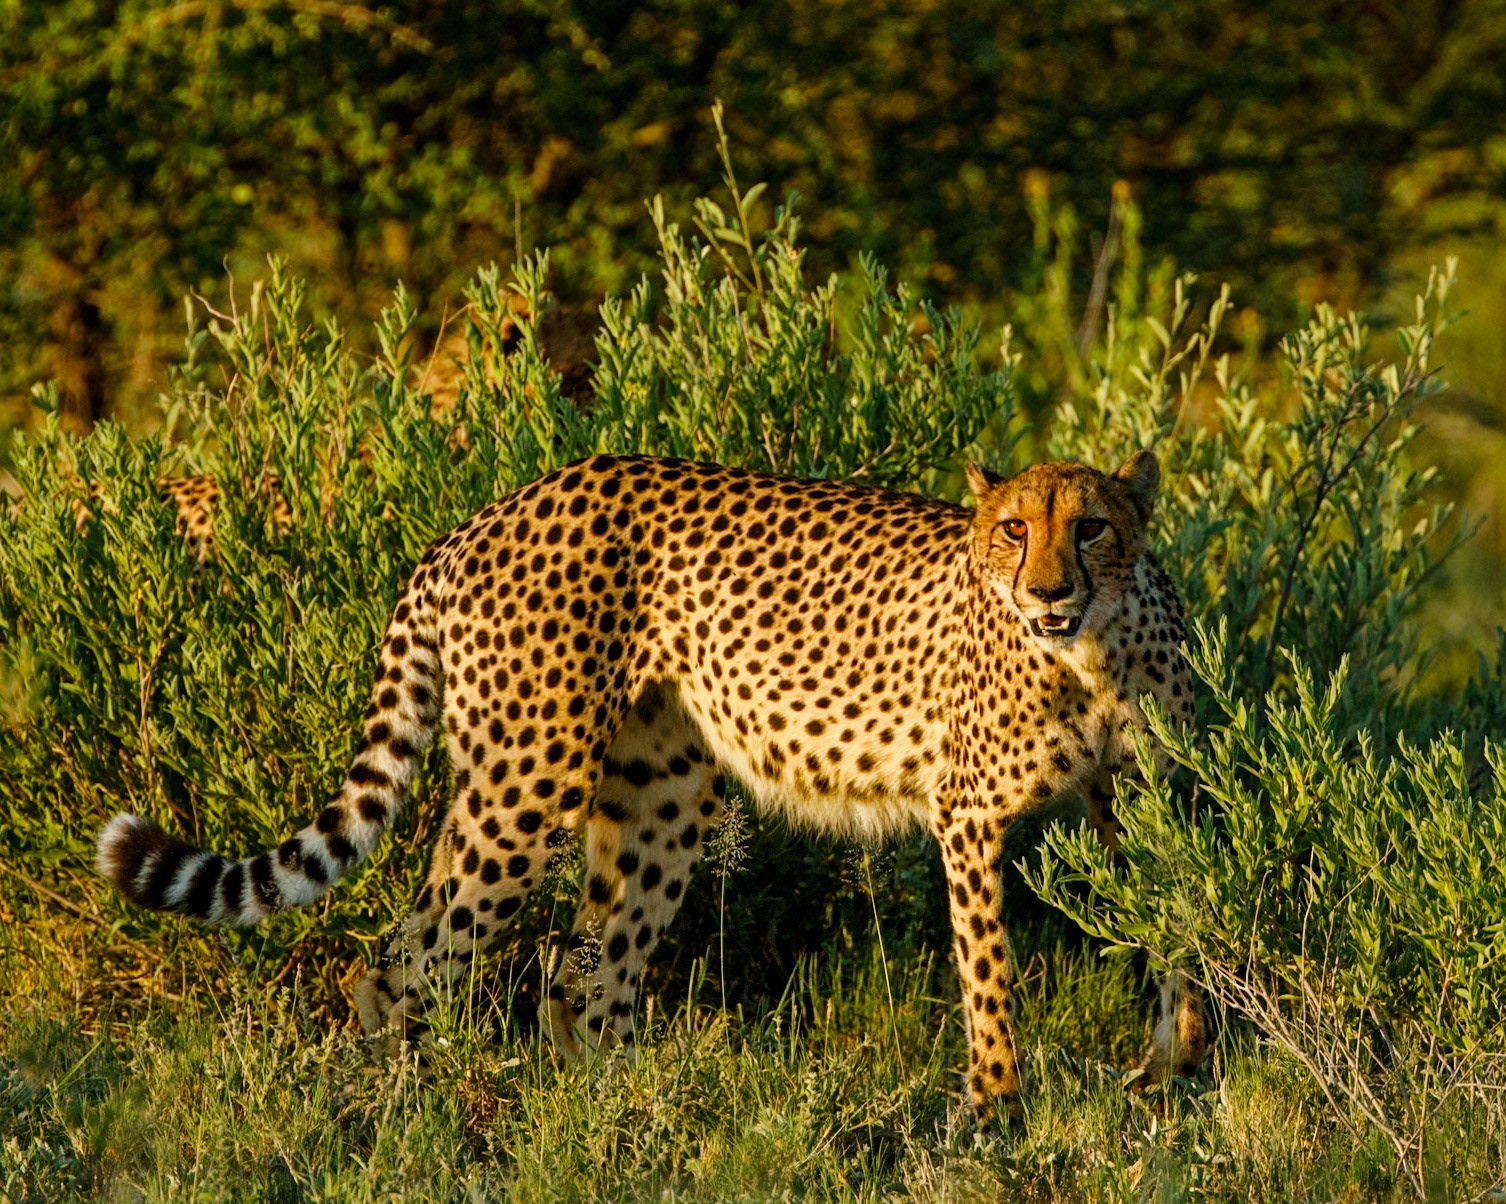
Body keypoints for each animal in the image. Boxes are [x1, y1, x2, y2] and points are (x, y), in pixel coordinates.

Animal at [95, 450, 1206, 1118]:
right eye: (1015, 528)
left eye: (1092, 527)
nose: (1047, 589)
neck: (1090, 653)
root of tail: (487, 513)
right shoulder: (967, 814)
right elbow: (989, 972)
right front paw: (995, 1107)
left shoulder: (1143, 798)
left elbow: (1180, 930)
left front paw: (1170, 1073)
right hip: (528, 779)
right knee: (409, 956)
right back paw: (409, 1104)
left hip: (659, 796)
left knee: (583, 972)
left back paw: (630, 1106)